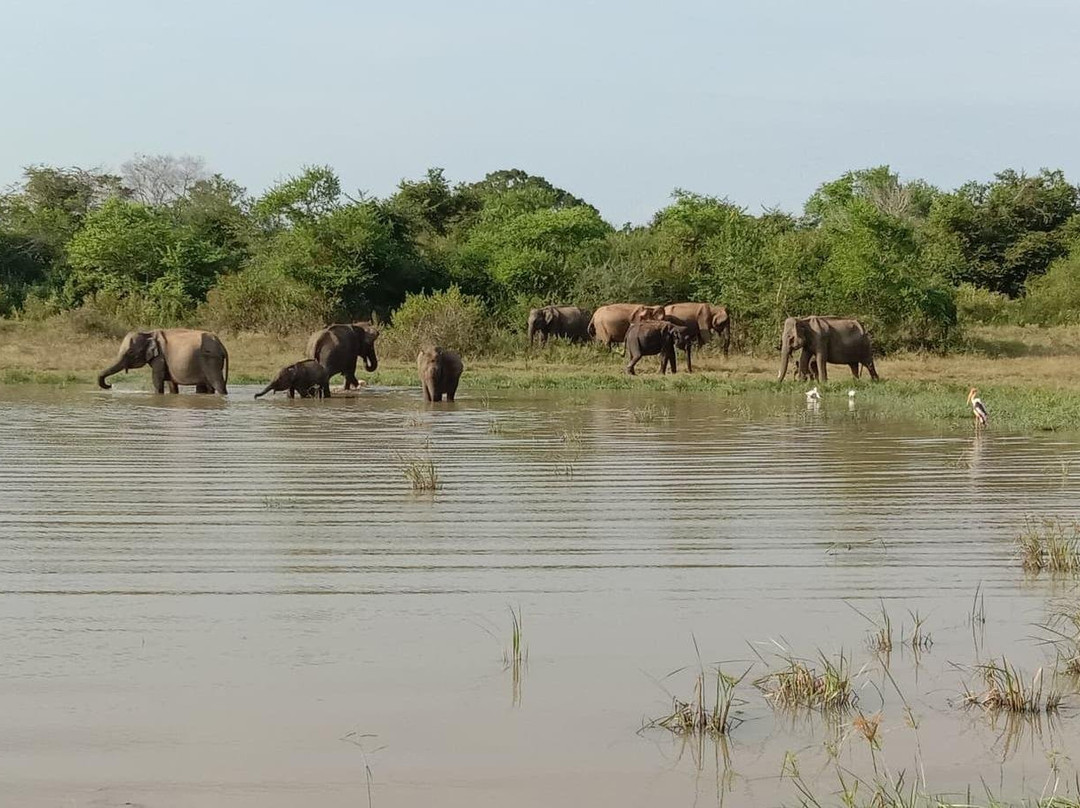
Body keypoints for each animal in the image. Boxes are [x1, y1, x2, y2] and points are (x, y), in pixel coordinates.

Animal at [99, 326, 230, 393]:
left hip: (211, 360)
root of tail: (221, 344)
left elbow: (157, 379)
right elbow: (171, 383)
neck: (149, 332)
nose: (110, 385)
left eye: (130, 352)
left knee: (217, 383)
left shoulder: (160, 357)